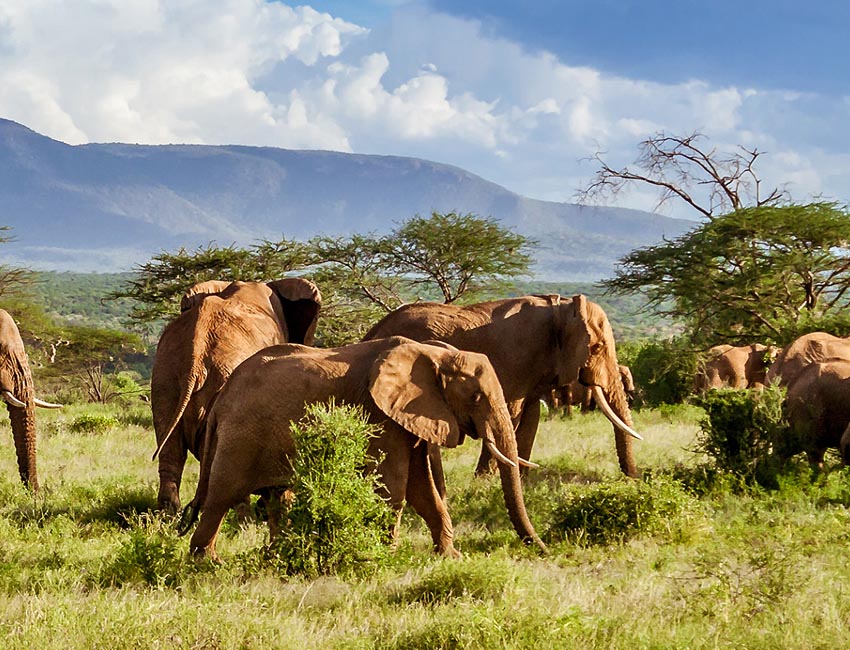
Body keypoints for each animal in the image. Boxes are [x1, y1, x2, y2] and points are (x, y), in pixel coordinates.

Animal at [181, 337, 545, 560]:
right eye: (475, 396)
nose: (542, 550)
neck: (433, 354)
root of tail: (221, 398)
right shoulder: (380, 415)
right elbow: (394, 488)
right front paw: (388, 556)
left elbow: (422, 490)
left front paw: (450, 557)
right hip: (241, 436)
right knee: (221, 497)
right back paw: (207, 562)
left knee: (276, 498)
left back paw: (279, 555)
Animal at [362, 294, 642, 478]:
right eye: (598, 347)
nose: (633, 478)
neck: (562, 308)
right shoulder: (517, 358)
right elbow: (514, 412)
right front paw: (485, 480)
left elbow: (530, 417)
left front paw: (524, 480)